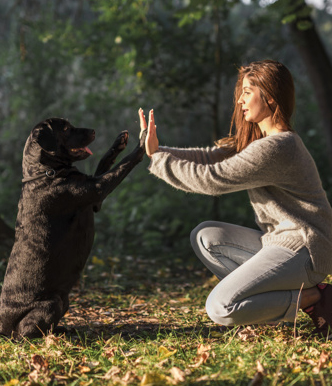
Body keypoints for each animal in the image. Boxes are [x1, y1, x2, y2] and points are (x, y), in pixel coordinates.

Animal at [0, 117, 145, 338]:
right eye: (67, 128)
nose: (93, 130)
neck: (45, 173)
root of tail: (3, 325)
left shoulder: (95, 201)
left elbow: (104, 162)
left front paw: (119, 142)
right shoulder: (98, 189)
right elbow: (123, 165)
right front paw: (143, 143)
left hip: (64, 300)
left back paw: (62, 329)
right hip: (52, 303)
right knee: (24, 333)